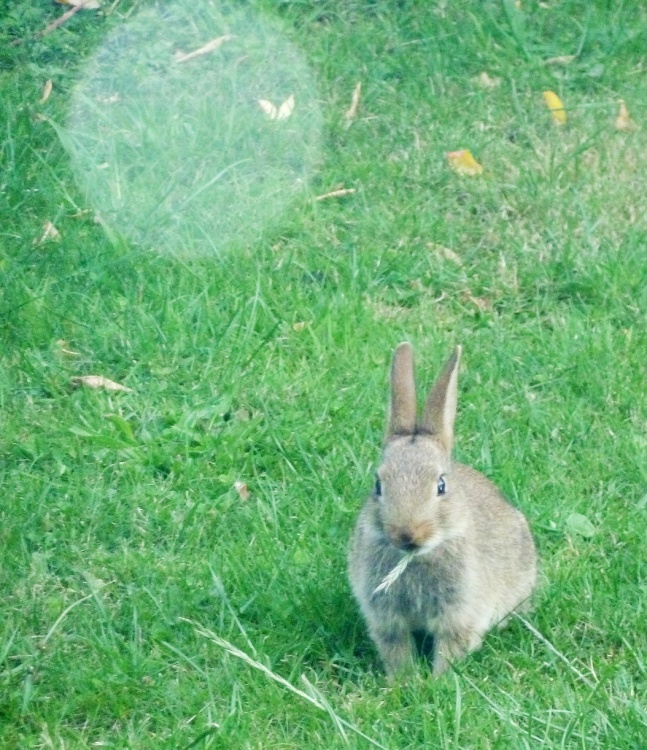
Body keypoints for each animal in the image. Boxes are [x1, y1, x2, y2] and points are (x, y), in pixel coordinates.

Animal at [348, 343, 537, 677]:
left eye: (440, 485)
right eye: (378, 484)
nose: (408, 534)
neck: (417, 558)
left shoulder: (459, 615)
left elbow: (450, 647)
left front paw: (438, 680)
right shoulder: (387, 619)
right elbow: (397, 648)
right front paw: (404, 681)